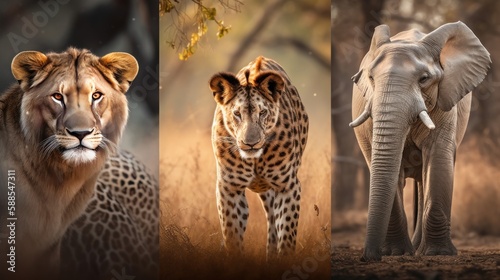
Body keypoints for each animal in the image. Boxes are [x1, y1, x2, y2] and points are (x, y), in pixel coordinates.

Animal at [208, 55, 308, 258]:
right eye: (237, 114)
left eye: (262, 113)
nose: (250, 143)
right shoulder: (229, 188)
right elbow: (232, 234)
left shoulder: (287, 186)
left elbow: (287, 234)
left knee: (274, 223)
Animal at [350, 20, 490, 262]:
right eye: (371, 78)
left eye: (424, 79)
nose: (367, 257)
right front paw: (395, 253)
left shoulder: (445, 103)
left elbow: (438, 160)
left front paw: (439, 253)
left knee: (425, 177)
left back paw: (420, 249)